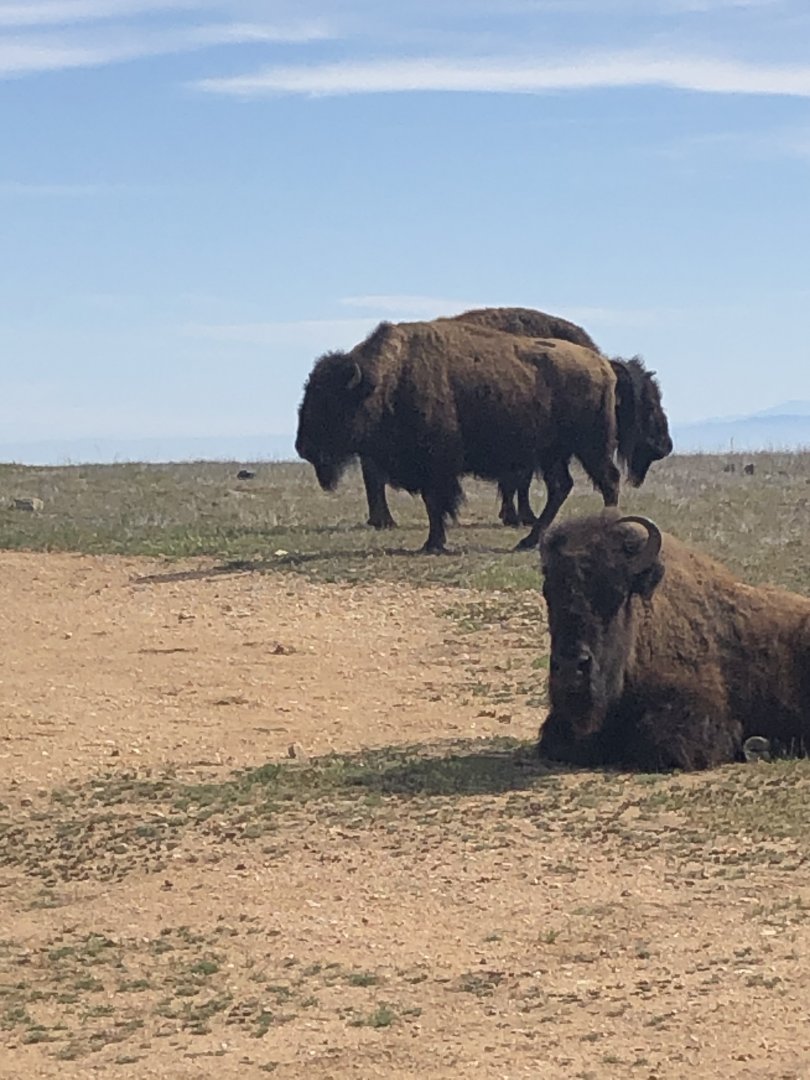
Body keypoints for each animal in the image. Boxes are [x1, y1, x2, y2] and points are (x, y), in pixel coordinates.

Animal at [296, 314, 671, 553]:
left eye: (329, 402)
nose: (302, 447)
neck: (386, 380)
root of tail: (603, 365)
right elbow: (436, 503)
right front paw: (434, 542)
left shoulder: (437, 465)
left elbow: (436, 502)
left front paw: (433, 543)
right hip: (553, 453)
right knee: (561, 487)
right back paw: (528, 541)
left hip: (589, 446)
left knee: (607, 481)